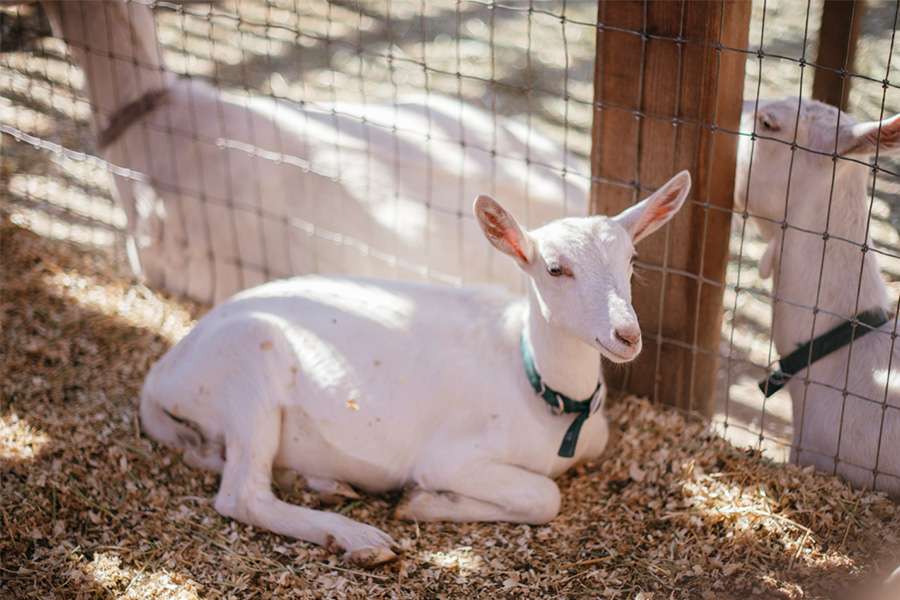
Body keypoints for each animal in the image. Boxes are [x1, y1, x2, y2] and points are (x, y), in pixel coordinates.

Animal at [139, 171, 691, 566]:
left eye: (632, 260)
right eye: (555, 269)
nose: (627, 335)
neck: (538, 385)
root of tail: (163, 373)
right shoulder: (451, 456)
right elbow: (545, 496)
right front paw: (422, 502)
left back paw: (322, 485)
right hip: (246, 372)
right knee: (242, 495)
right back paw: (358, 537)